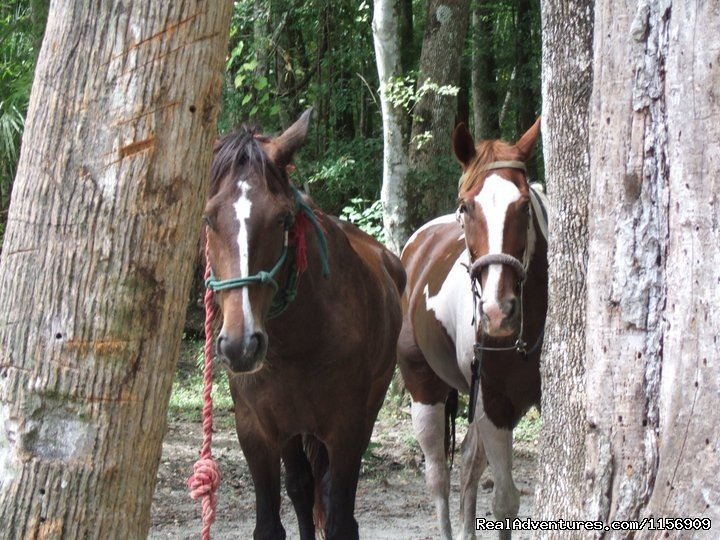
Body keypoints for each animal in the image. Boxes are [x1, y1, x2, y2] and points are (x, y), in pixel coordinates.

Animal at [204, 107, 404, 536]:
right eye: (209, 219)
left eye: (282, 219)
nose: (241, 345)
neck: (300, 338)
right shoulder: (256, 432)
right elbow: (271, 524)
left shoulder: (347, 430)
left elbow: (341, 519)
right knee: (301, 488)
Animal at [400, 119, 544, 540]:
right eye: (466, 207)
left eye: (524, 205)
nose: (497, 312)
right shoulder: (494, 406)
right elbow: (506, 501)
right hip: (425, 391)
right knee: (438, 477)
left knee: (466, 466)